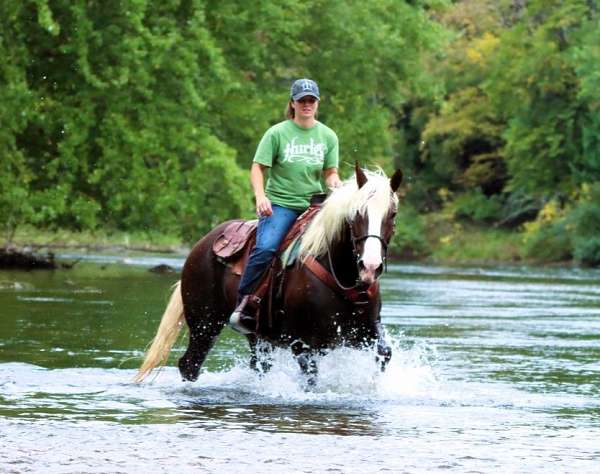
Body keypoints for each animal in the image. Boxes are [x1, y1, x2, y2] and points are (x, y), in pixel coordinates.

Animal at [136, 166, 404, 386]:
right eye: (357, 213)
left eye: (392, 214)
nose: (370, 266)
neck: (341, 274)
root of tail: (202, 243)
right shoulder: (304, 344)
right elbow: (311, 380)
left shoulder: (366, 331)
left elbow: (384, 354)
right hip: (205, 324)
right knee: (190, 365)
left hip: (255, 335)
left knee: (258, 365)